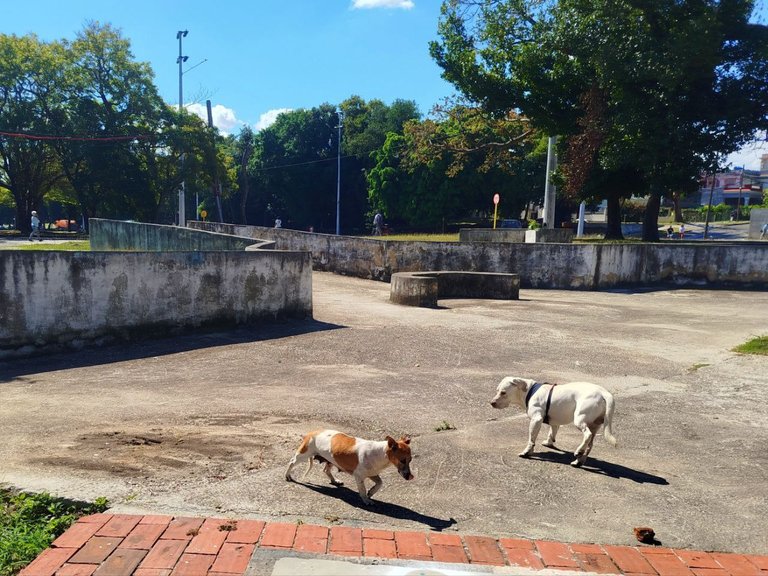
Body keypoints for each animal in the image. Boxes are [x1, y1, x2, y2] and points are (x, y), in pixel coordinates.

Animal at [284, 428, 414, 504]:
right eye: (402, 460)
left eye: (410, 460)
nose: (410, 477)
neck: (380, 453)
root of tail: (313, 432)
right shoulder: (359, 476)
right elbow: (362, 489)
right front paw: (366, 500)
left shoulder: (372, 473)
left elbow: (380, 483)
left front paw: (371, 492)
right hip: (303, 455)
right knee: (291, 462)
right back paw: (288, 476)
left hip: (331, 460)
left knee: (326, 470)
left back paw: (335, 481)